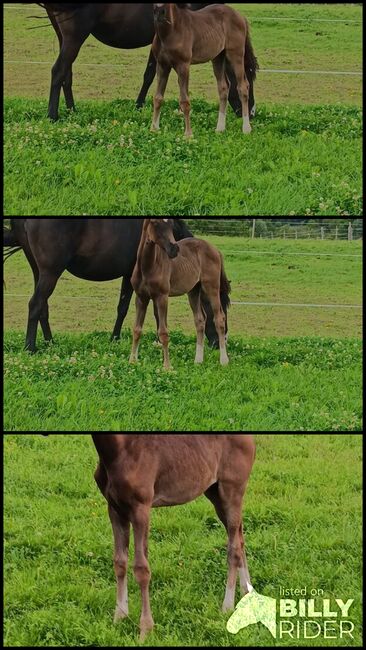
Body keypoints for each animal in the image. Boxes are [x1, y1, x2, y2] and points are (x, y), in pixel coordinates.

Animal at [3, 219, 229, 352]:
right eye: (220, 307)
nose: (220, 342)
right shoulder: (132, 276)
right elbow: (130, 308)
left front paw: (116, 338)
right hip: (50, 272)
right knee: (35, 304)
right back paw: (30, 347)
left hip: (39, 271)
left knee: (43, 306)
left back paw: (50, 342)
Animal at [33, 2, 258, 120]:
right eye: (249, 76)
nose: (251, 112)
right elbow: (152, 74)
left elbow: (149, 74)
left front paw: (139, 106)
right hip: (75, 37)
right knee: (58, 70)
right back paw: (53, 115)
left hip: (64, 37)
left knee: (67, 73)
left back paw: (72, 110)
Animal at [42, 430, 254, 636]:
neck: (120, 451)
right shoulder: (115, 510)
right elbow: (119, 562)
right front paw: (119, 617)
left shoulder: (141, 509)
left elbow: (141, 568)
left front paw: (145, 628)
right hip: (214, 493)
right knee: (240, 538)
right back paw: (247, 592)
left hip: (232, 491)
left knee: (234, 547)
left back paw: (227, 607)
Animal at [130, 219, 230, 368]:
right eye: (155, 223)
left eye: (171, 225)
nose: (174, 249)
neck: (147, 267)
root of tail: (216, 250)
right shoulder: (141, 297)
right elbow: (137, 329)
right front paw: (132, 361)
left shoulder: (162, 297)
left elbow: (163, 332)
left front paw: (167, 366)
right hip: (194, 291)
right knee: (200, 320)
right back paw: (198, 360)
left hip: (211, 288)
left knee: (219, 318)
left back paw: (224, 360)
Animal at [151, 3, 252, 137]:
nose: (160, 12)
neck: (170, 31)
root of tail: (241, 17)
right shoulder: (162, 65)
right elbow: (158, 97)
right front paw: (154, 129)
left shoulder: (183, 65)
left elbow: (185, 101)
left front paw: (188, 134)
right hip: (218, 58)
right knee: (223, 87)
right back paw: (220, 128)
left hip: (236, 55)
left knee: (242, 87)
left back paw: (246, 128)